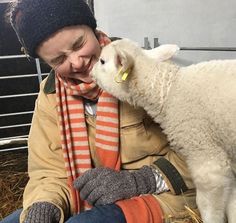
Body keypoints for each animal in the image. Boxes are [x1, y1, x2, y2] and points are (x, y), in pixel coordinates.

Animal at [91, 38, 236, 223]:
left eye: (102, 61)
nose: (91, 71)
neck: (168, 92)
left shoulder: (205, 153)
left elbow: (207, 206)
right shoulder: (228, 155)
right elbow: (232, 202)